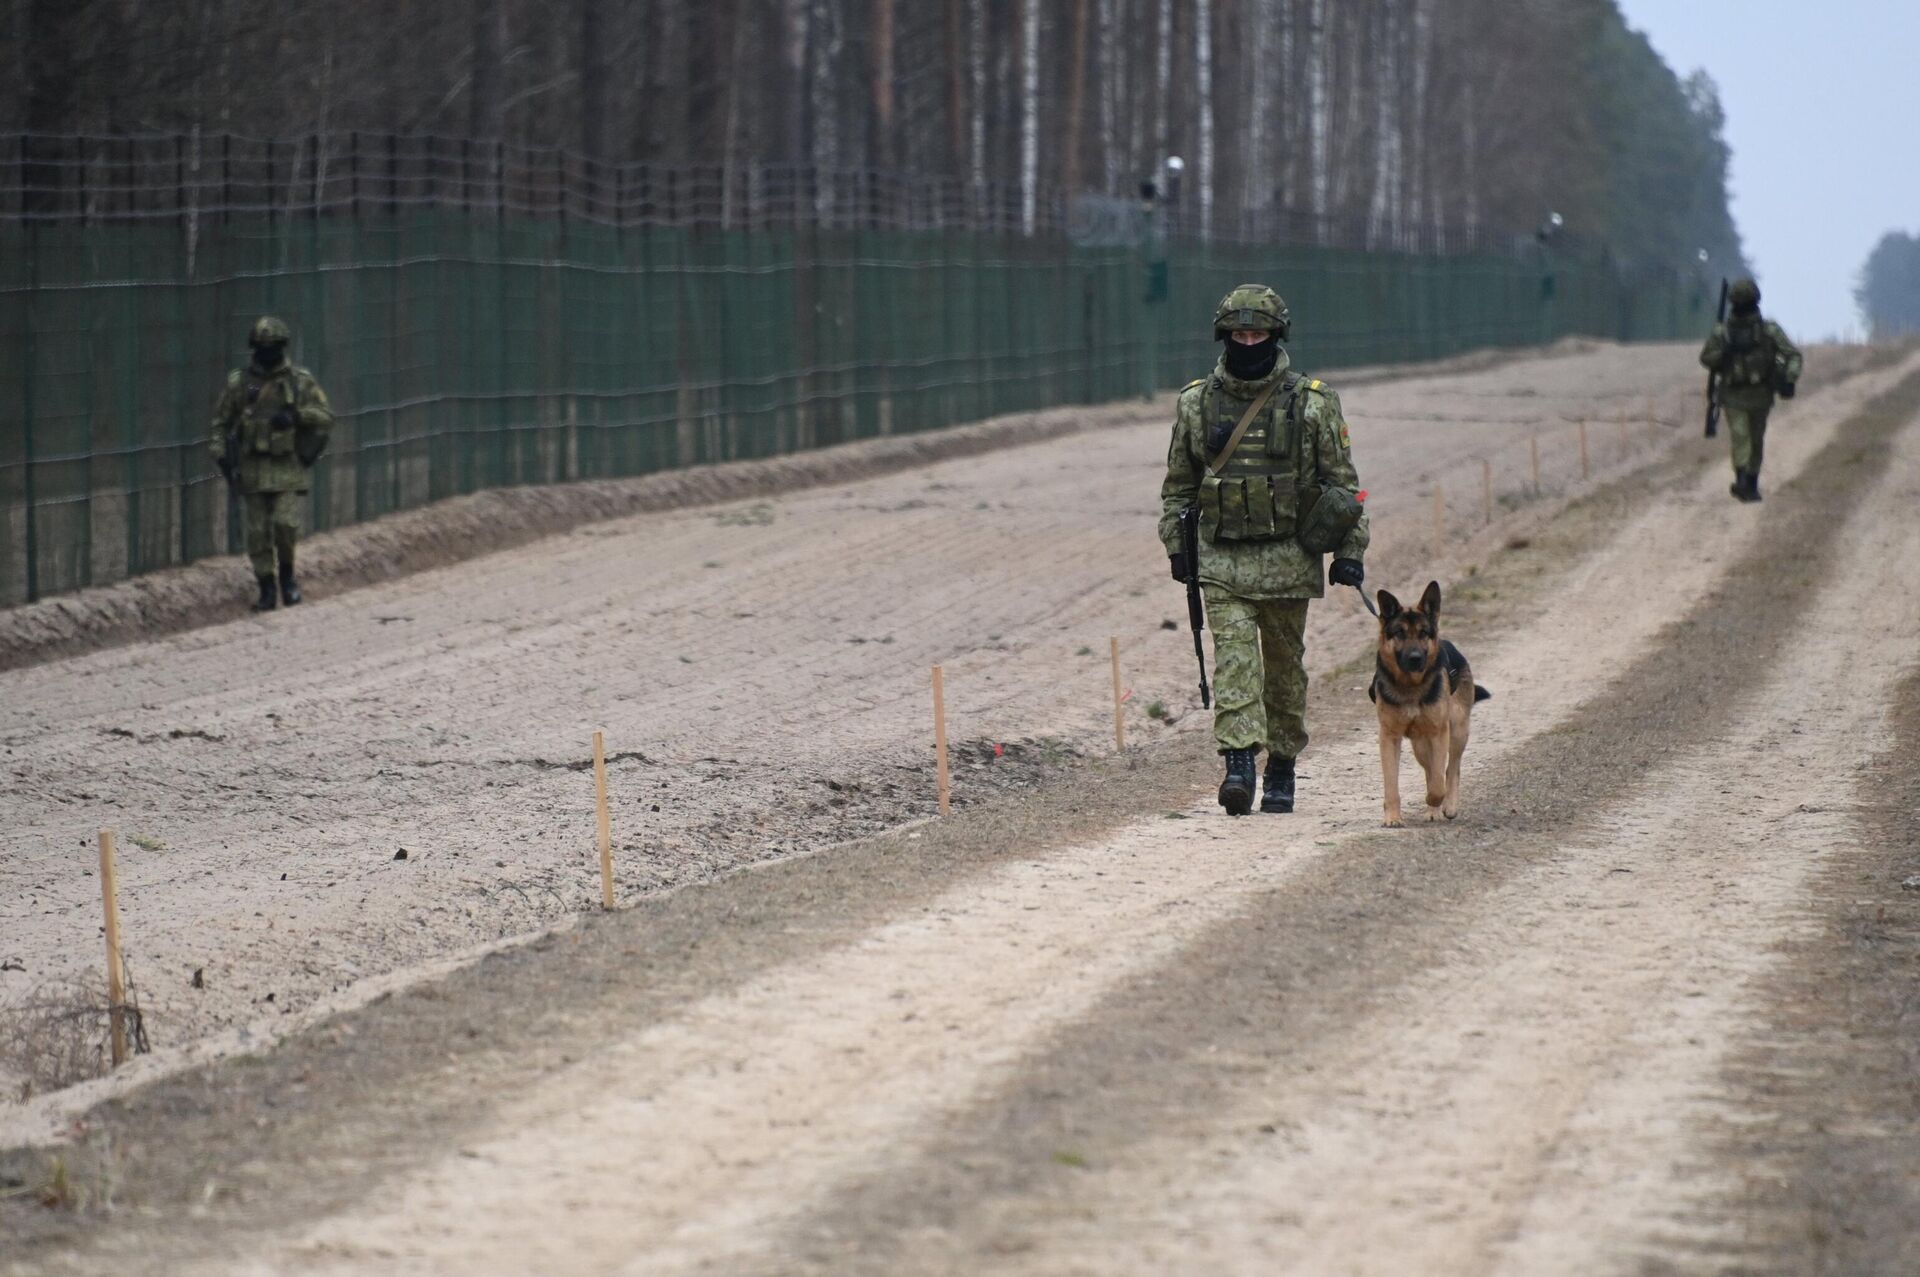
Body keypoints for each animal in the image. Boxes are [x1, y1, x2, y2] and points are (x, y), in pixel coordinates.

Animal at [1374, 579, 1489, 825]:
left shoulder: (1439, 732)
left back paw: (1447, 806)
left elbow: (1438, 783)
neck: (1411, 687)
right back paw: (1433, 811)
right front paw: (1393, 817)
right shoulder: (1389, 737)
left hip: (1457, 732)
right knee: (1430, 769)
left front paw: (1435, 801)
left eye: (1423, 633)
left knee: (1451, 769)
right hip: (1420, 745)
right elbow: (1391, 783)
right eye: (1399, 633)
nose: (1415, 658)